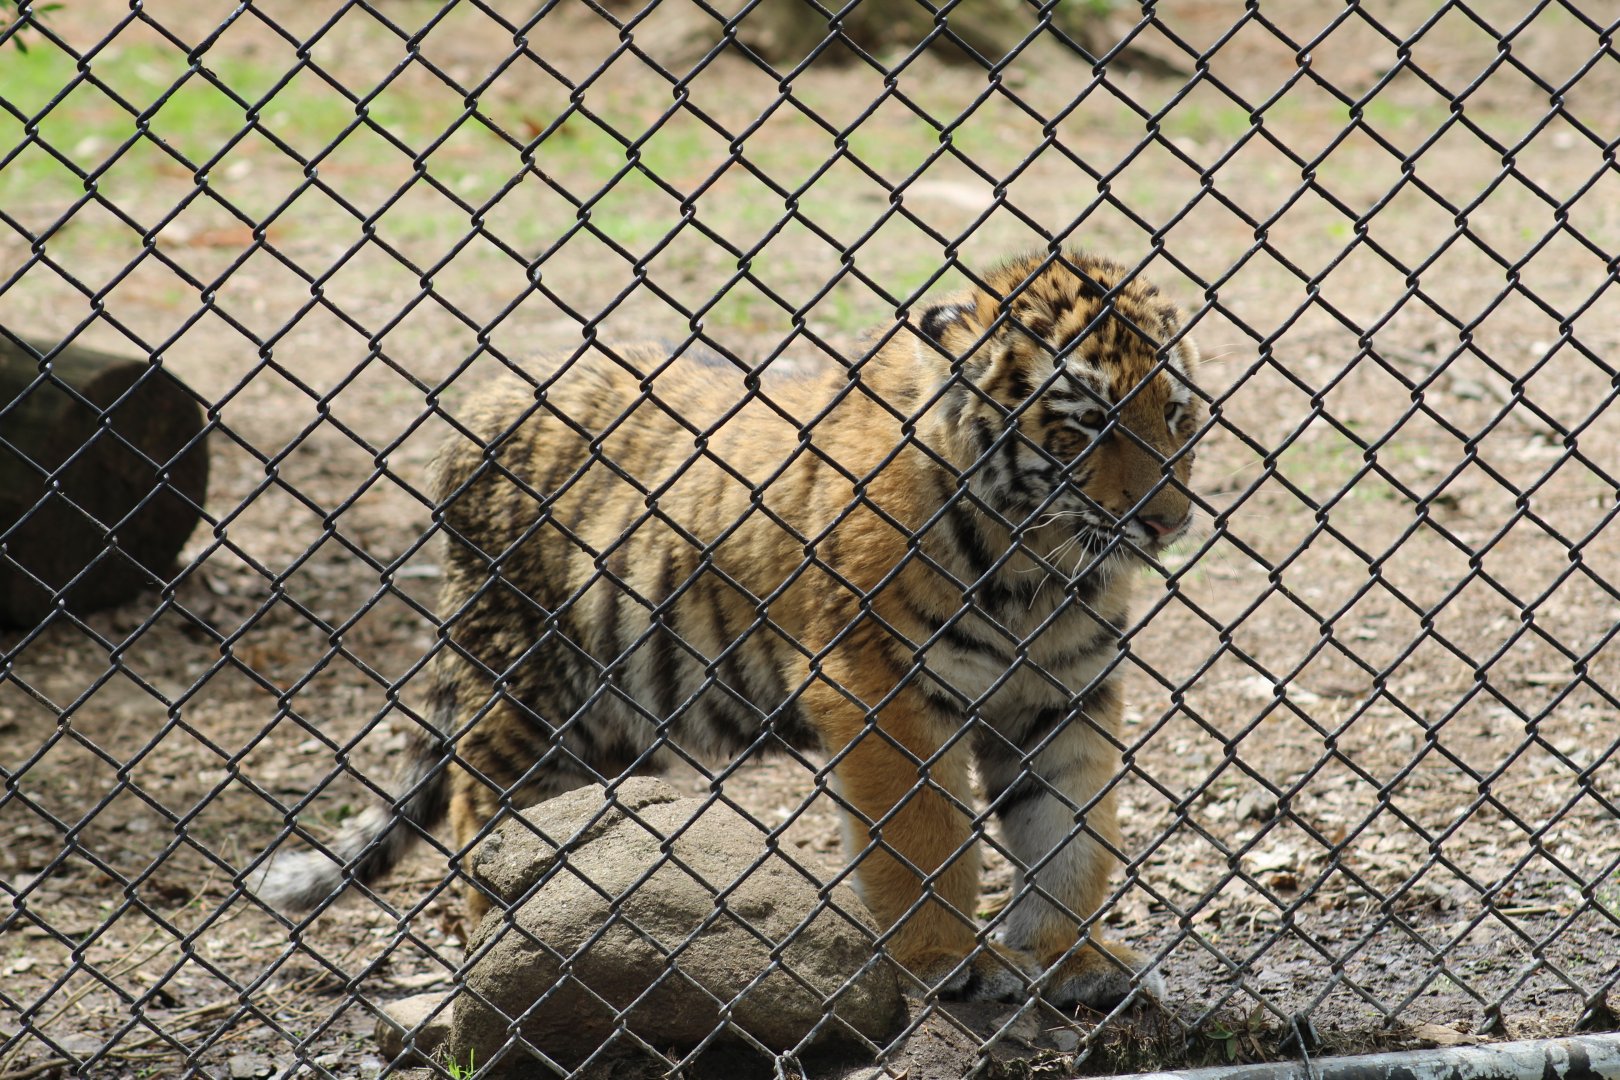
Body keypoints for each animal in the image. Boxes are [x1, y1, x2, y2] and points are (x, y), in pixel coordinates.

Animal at [251, 250, 1202, 1009]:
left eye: (1176, 416)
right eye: (1087, 425)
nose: (1167, 521)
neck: (1040, 566)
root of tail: (481, 403)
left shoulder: (1063, 695)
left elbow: (1070, 835)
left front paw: (1072, 958)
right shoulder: (878, 685)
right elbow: (924, 837)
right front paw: (947, 961)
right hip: (523, 693)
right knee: (484, 815)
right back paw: (501, 962)